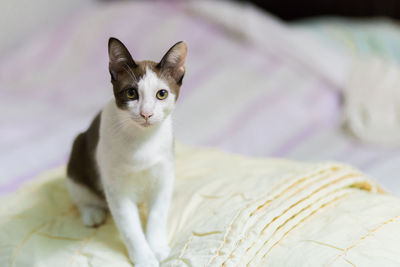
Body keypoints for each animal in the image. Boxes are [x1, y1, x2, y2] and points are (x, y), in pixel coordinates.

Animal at [67, 38, 188, 267]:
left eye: (161, 94)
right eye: (131, 93)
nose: (146, 114)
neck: (143, 141)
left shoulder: (164, 174)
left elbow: (157, 215)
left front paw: (157, 247)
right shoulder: (117, 190)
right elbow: (130, 227)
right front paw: (144, 258)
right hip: (78, 151)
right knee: (79, 193)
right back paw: (92, 213)